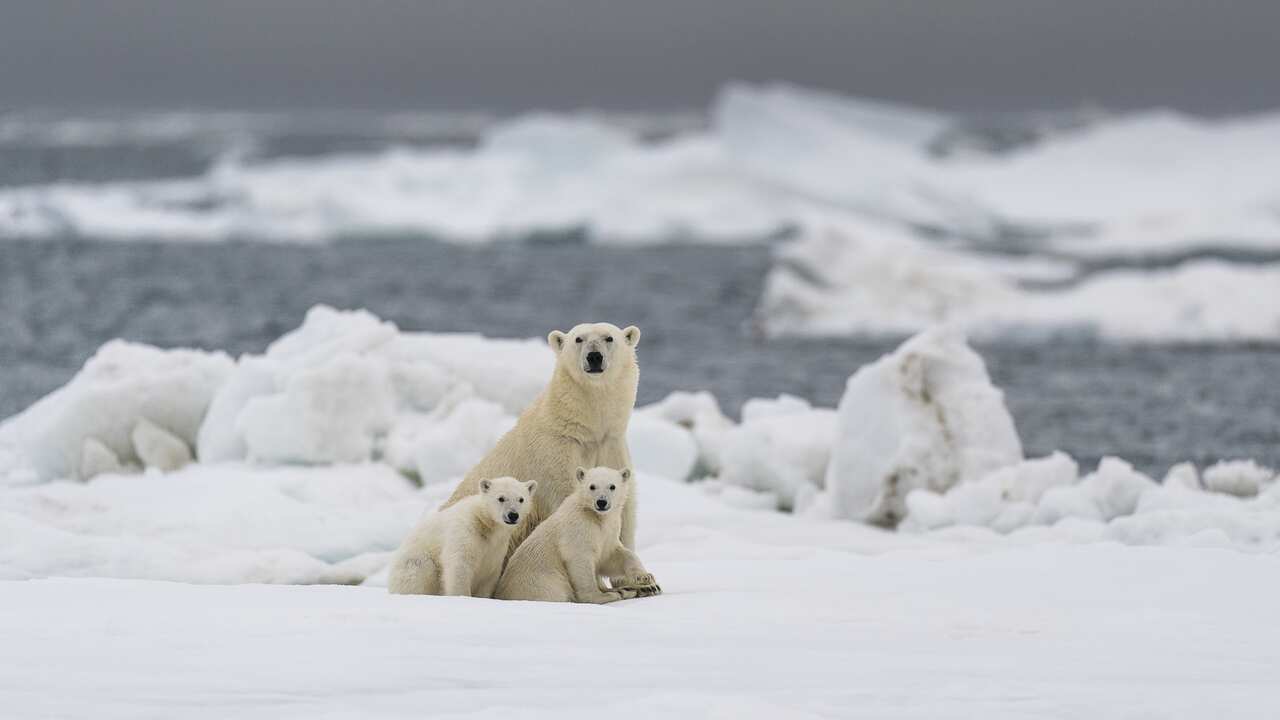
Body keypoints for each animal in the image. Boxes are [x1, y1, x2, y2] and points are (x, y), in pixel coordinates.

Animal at [388, 476, 537, 597]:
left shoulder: (496, 549)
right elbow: (459, 564)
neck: (485, 523)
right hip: (416, 562)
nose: (513, 515)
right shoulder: (465, 531)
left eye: (521, 499)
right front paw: (462, 597)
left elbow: (488, 575)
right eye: (501, 498)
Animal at [441, 322, 653, 591]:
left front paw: (642, 581)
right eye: (578, 339)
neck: (584, 429)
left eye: (609, 338)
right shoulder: (556, 454)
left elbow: (624, 509)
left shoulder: (611, 446)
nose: (594, 357)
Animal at [495, 467, 659, 604]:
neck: (597, 517)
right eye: (592, 486)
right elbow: (580, 560)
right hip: (541, 582)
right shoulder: (578, 528)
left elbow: (612, 555)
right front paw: (601, 596)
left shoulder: (609, 531)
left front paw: (645, 578)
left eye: (612, 486)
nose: (601, 502)